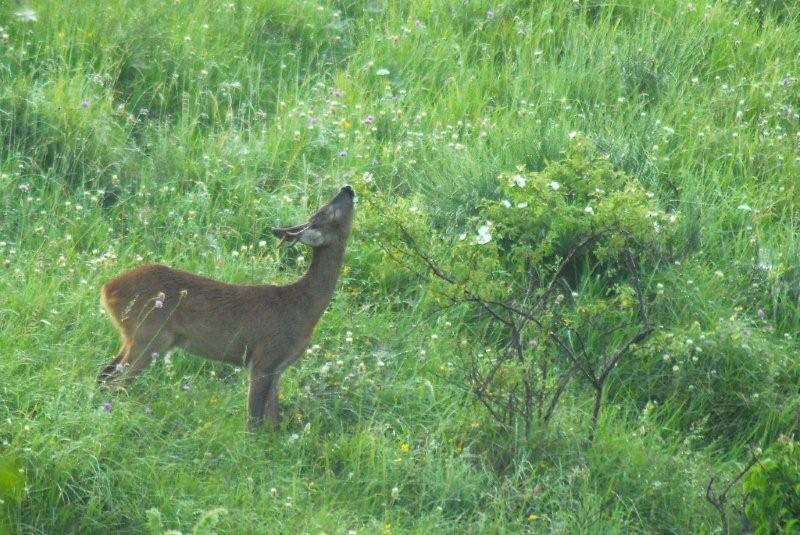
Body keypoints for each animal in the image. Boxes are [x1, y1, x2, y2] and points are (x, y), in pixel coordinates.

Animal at [95, 184, 354, 432]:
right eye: (325, 211)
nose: (348, 188)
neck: (303, 306)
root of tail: (107, 289)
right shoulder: (264, 358)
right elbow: (254, 421)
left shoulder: (278, 367)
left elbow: (273, 420)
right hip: (149, 335)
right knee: (115, 381)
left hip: (137, 337)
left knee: (104, 374)